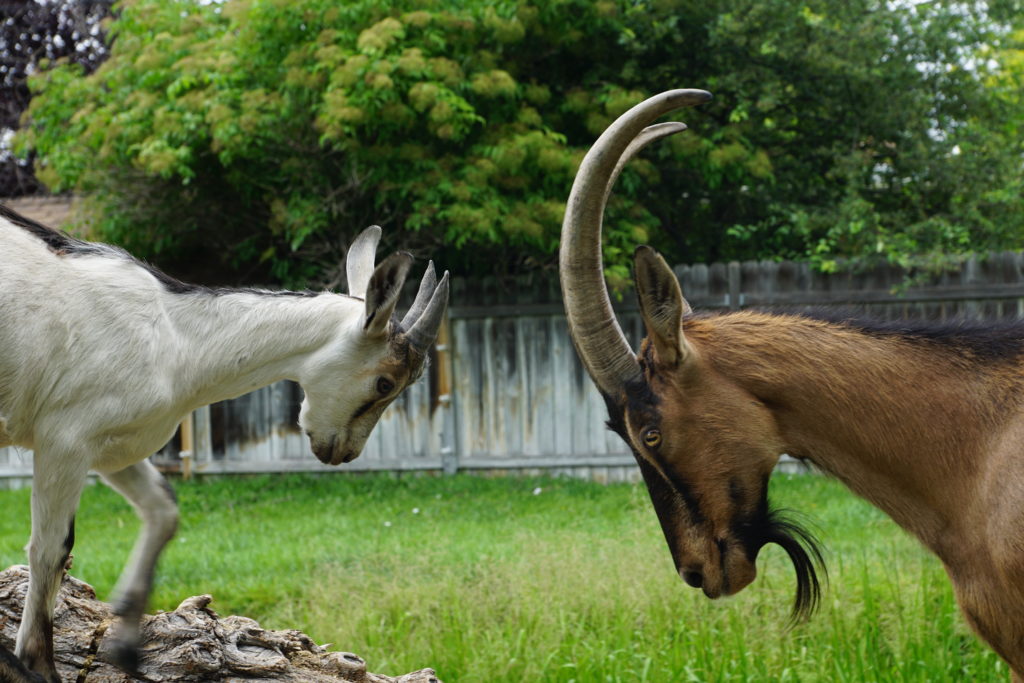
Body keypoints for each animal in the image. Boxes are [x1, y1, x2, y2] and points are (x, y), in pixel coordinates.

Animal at [0, 204, 449, 683]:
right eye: (385, 383)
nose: (343, 452)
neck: (177, 339)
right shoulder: (64, 437)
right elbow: (53, 548)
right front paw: (36, 664)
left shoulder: (112, 447)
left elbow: (164, 510)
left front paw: (126, 648)